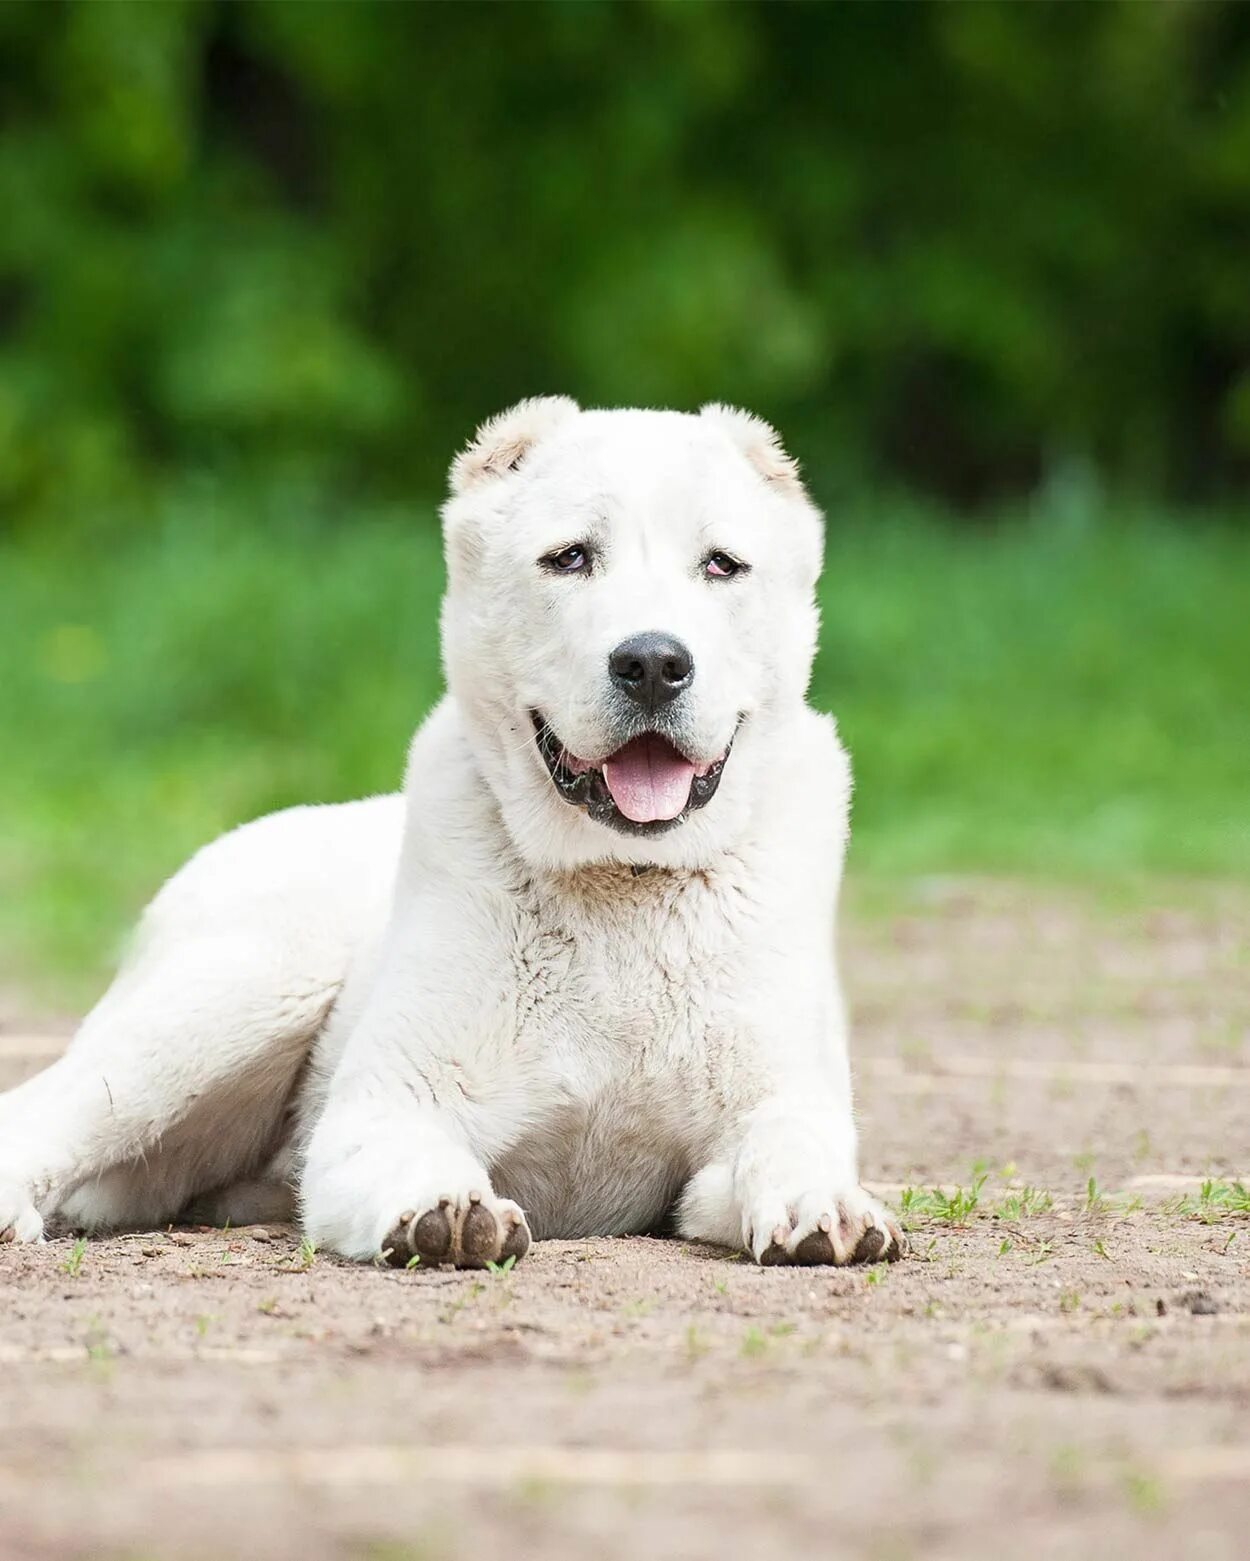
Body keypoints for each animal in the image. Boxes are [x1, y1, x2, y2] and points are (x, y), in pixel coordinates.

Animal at [0, 402, 898, 1267]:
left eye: (721, 565)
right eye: (570, 558)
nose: (651, 664)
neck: (621, 884)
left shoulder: (764, 1119)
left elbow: (786, 1147)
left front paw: (825, 1206)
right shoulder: (384, 1110)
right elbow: (420, 1157)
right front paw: (448, 1209)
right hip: (241, 996)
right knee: (46, 1110)